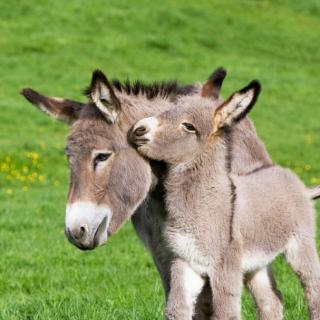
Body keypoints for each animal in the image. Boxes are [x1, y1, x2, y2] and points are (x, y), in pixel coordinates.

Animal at [129, 81, 320, 318]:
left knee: (313, 288)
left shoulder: (224, 268)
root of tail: (296, 182)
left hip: (301, 244)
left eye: (189, 126)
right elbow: (176, 310)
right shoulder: (185, 263)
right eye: (168, 110)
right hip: (256, 263)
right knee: (271, 300)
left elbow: (226, 313)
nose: (138, 129)